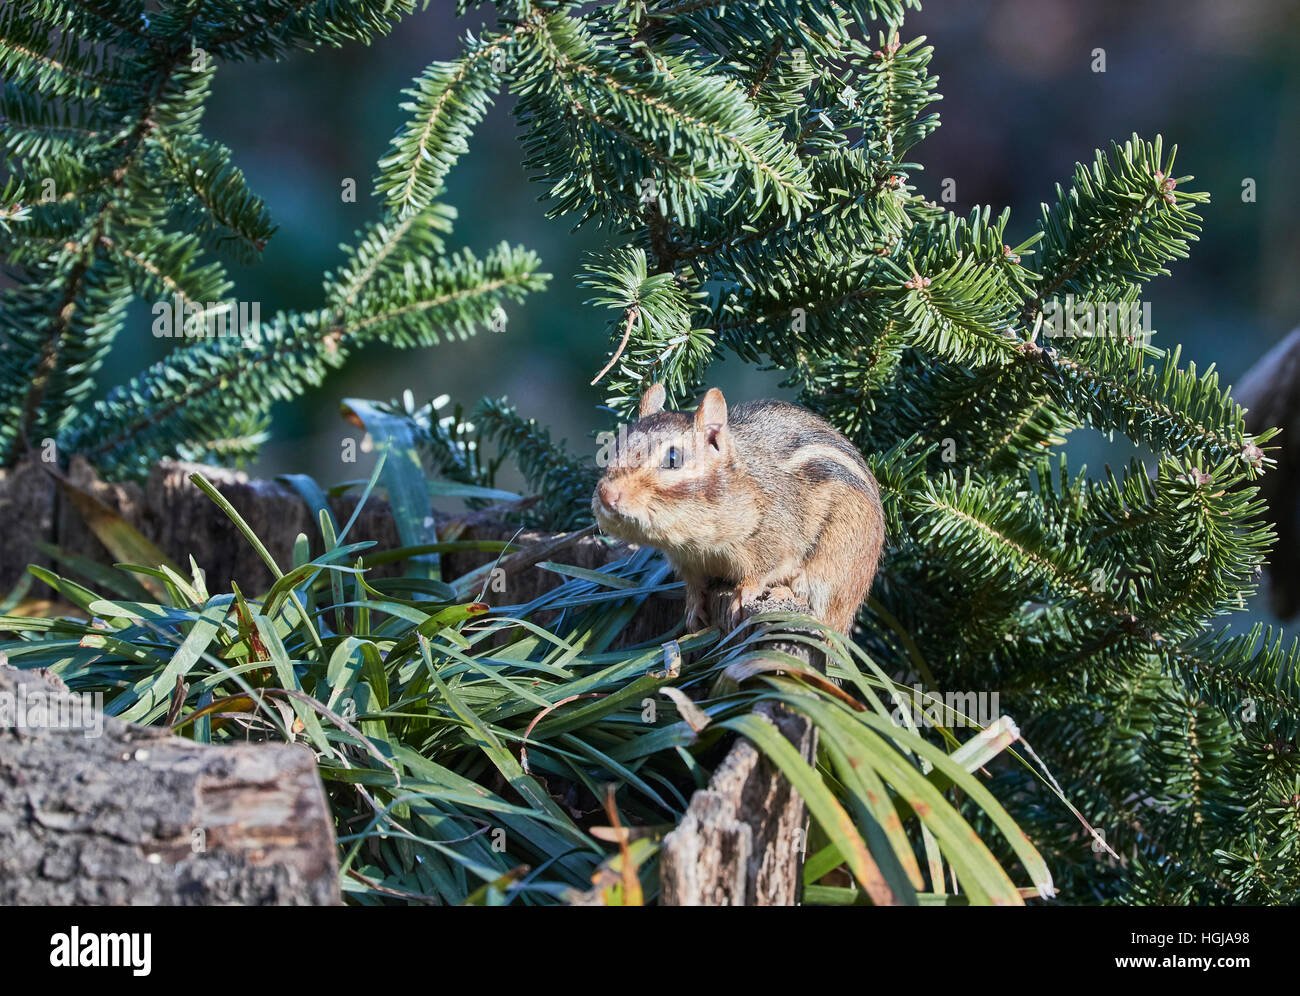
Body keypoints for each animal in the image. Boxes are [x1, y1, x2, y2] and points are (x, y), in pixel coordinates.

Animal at [591, 383, 885, 633]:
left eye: (673, 458)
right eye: (614, 447)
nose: (607, 495)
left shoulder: (777, 535)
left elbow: (763, 570)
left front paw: (744, 593)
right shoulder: (686, 560)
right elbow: (694, 585)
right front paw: (693, 608)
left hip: (836, 563)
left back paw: (786, 592)